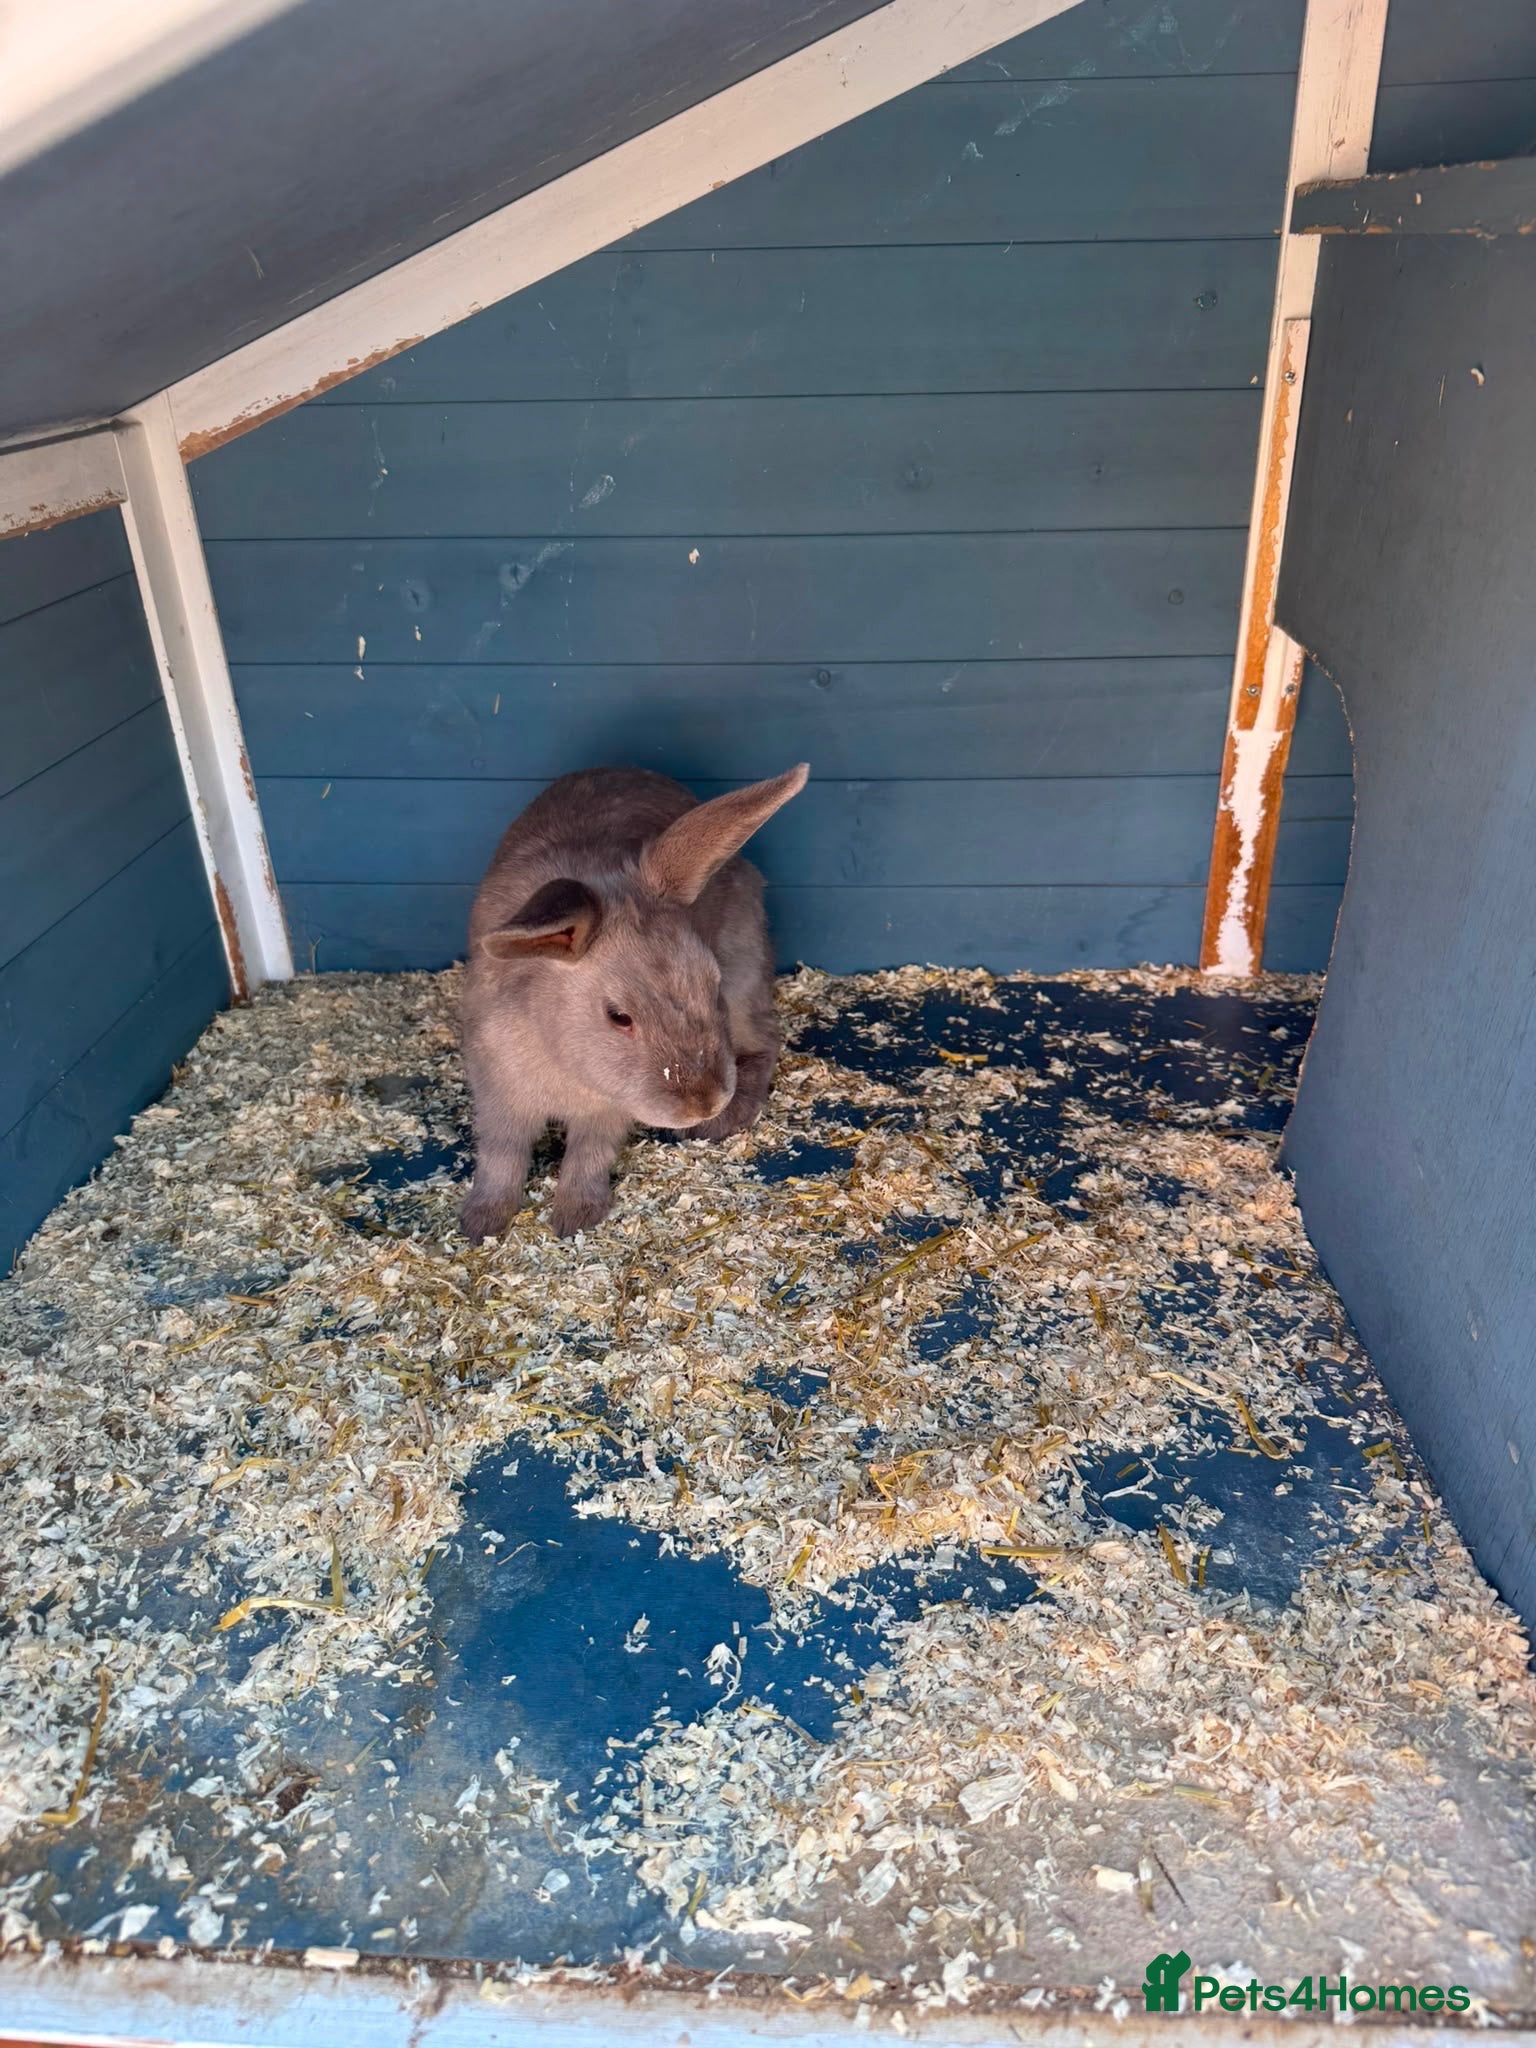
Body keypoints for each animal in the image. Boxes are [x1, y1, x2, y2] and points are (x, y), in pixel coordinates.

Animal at [459, 762, 809, 1240]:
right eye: (618, 1016)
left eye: (711, 984)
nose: (705, 1102)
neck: (561, 1056)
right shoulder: (498, 1093)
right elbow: (501, 1156)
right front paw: (481, 1222)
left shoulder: (607, 1111)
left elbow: (589, 1154)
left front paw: (576, 1215)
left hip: (746, 978)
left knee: (766, 1039)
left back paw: (729, 1118)